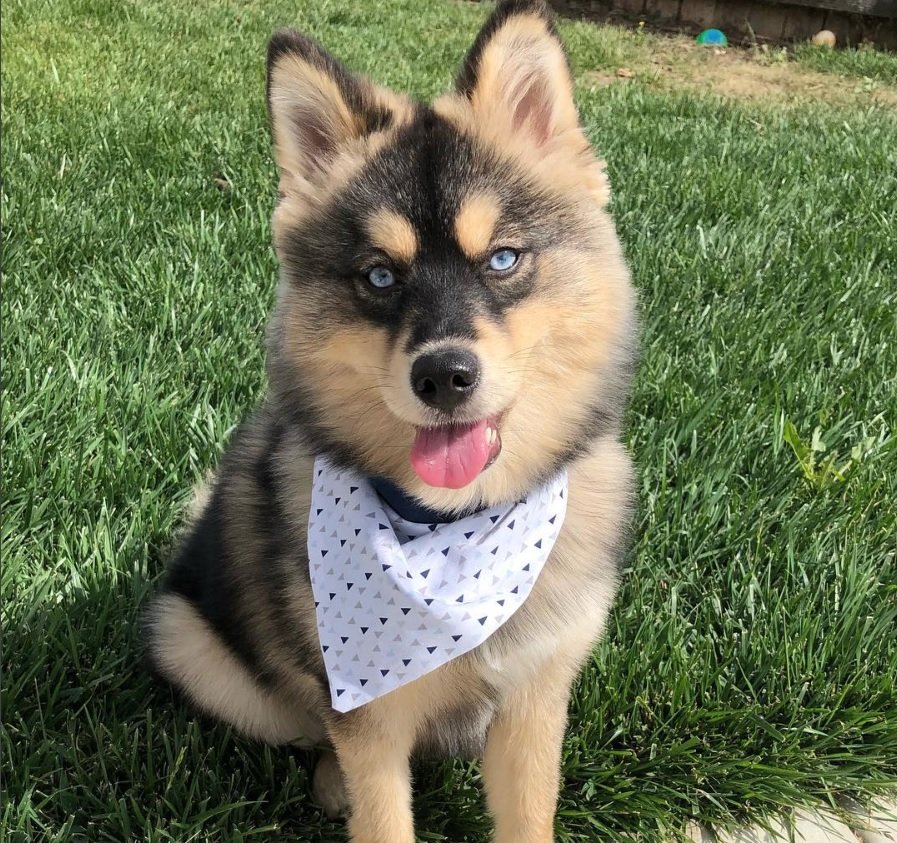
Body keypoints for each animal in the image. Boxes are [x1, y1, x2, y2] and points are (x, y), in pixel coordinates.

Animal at [144, 3, 636, 840]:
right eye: (379, 276)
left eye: (502, 259)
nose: (442, 375)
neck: (455, 531)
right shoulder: (370, 718)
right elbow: (379, 808)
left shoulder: (534, 699)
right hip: (188, 639)